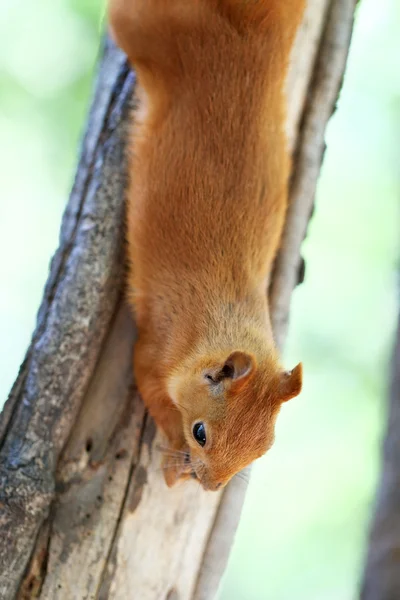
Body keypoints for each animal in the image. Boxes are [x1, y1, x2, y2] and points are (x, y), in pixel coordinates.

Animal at [108, 1, 304, 492]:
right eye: (199, 433)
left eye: (263, 449)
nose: (211, 487)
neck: (224, 320)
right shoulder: (154, 350)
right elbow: (156, 398)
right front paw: (173, 462)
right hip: (142, 27)